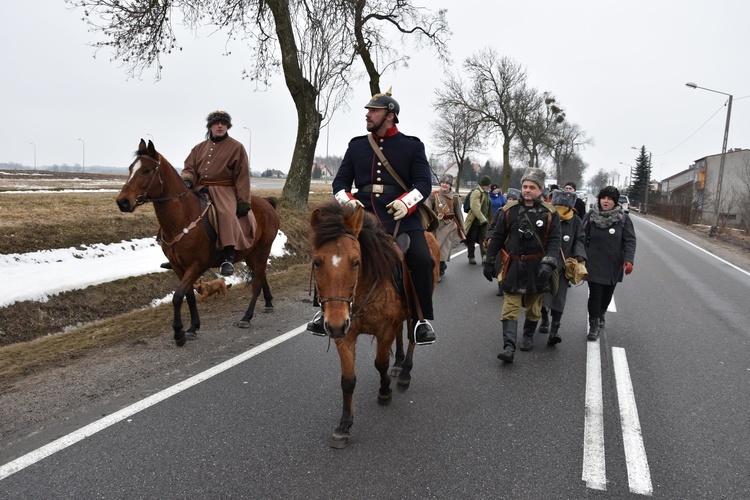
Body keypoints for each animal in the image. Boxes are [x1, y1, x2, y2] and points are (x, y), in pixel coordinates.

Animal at [116, 139, 280, 346]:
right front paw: (193, 327)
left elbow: (178, 296)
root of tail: (267, 202)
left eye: (146, 170)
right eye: (131, 168)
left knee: (257, 282)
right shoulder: (178, 266)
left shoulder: (197, 265)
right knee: (262, 276)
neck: (183, 217)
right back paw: (269, 302)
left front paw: (179, 333)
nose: (122, 202)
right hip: (250, 254)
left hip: (262, 250)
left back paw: (246, 317)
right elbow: (189, 296)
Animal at [310, 201, 440, 448]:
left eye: (356, 262)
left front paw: (385, 391)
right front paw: (344, 426)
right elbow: (348, 380)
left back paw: (405, 372)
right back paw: (398, 365)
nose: (334, 324)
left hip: (416, 307)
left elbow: (380, 364)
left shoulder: (383, 331)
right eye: (317, 261)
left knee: (411, 337)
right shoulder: (345, 335)